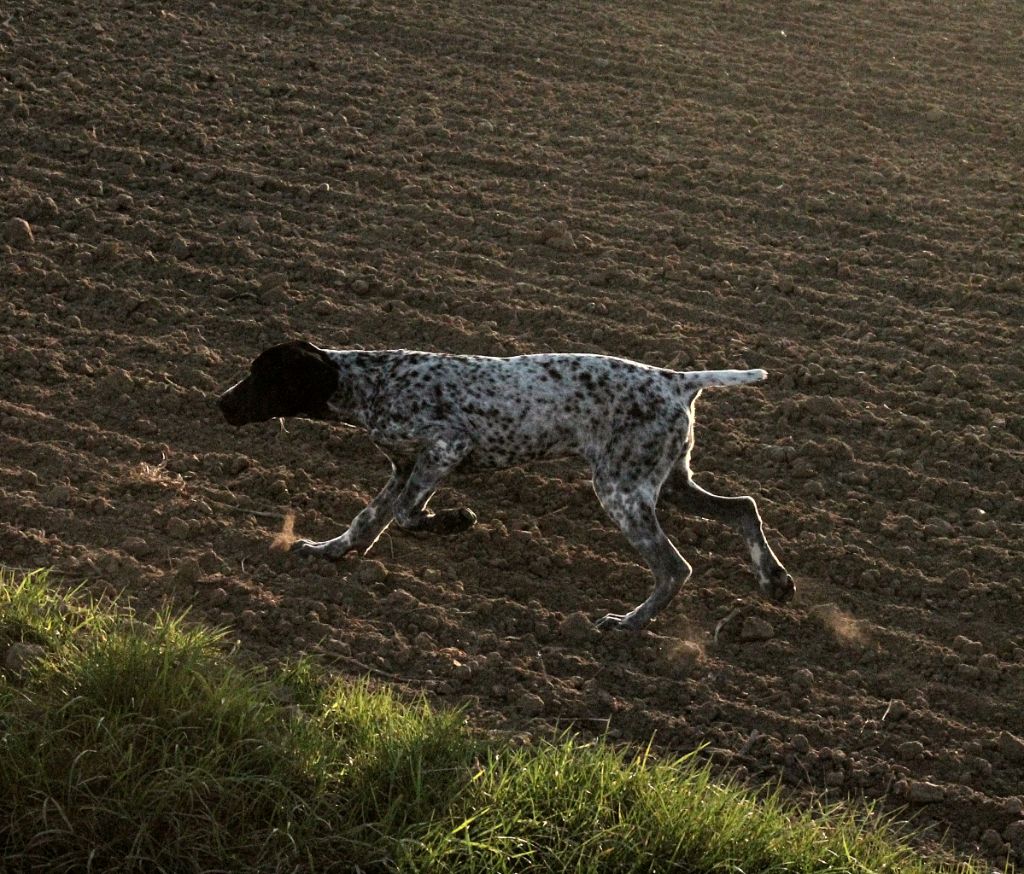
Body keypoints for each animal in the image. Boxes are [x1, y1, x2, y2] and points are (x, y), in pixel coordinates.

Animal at [218, 340, 794, 630]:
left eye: (263, 377)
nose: (221, 403)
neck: (370, 382)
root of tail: (677, 379)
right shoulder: (404, 468)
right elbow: (366, 520)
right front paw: (328, 550)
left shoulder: (446, 447)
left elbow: (405, 516)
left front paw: (454, 521)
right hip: (667, 481)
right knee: (744, 507)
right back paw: (775, 581)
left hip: (622, 492)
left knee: (675, 567)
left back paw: (630, 623)